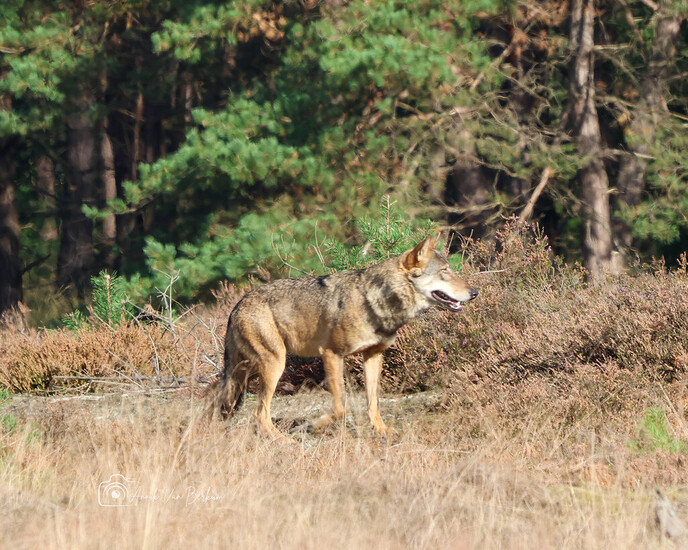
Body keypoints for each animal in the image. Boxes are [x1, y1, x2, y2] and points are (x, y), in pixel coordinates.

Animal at [210, 234, 478, 438]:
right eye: (445, 271)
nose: (474, 292)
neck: (374, 301)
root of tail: (237, 305)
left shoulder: (373, 356)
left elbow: (373, 402)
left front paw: (381, 430)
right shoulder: (331, 354)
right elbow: (341, 408)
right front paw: (314, 426)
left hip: (248, 372)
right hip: (274, 365)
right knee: (260, 414)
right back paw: (283, 441)